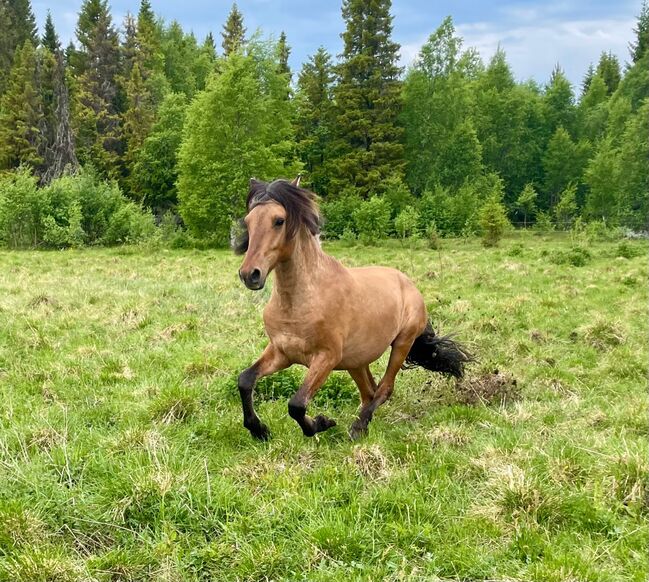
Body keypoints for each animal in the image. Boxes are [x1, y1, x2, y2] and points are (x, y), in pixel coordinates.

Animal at [233, 178, 470, 442]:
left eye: (279, 220)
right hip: (356, 360)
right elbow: (245, 380)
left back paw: (358, 427)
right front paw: (259, 430)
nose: (250, 274)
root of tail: (409, 284)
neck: (299, 303)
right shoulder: (281, 353)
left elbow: (296, 404)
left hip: (401, 343)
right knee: (370, 391)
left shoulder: (326, 358)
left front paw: (321, 423)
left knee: (384, 389)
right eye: (248, 221)